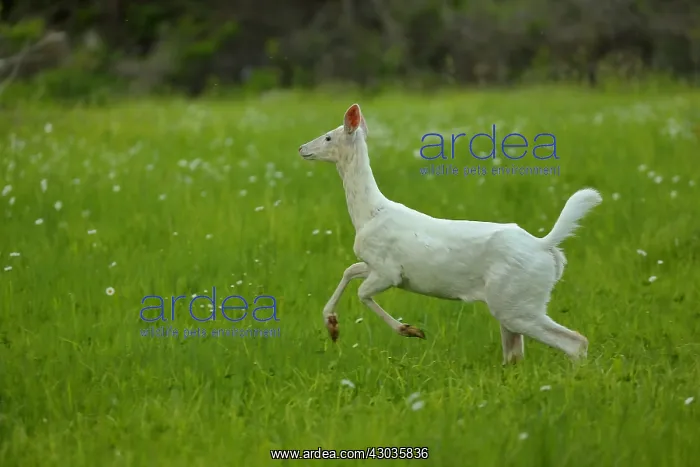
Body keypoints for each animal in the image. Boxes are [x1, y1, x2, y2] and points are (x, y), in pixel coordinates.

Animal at [297, 103, 602, 364]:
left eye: (328, 137)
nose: (301, 148)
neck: (368, 214)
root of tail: (545, 246)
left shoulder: (388, 271)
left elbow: (362, 293)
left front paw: (411, 330)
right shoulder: (373, 264)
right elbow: (349, 270)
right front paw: (332, 326)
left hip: (517, 302)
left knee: (575, 341)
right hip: (512, 303)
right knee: (516, 354)